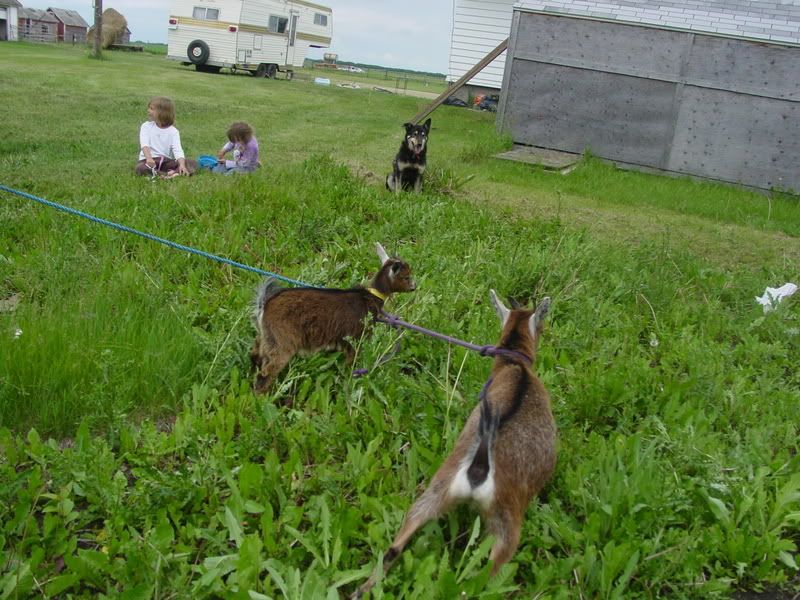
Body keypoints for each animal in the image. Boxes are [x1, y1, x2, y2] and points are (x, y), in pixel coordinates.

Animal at [250, 243, 416, 393]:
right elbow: (351, 362)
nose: (414, 287)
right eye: (406, 277)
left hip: (268, 337)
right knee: (266, 372)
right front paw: (348, 380)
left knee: (256, 354)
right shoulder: (356, 338)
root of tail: (265, 304)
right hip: (282, 341)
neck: (369, 298)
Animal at [351, 291, 555, 598]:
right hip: (506, 521)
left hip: (438, 488)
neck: (515, 368)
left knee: (395, 546)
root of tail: (480, 466)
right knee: (480, 579)